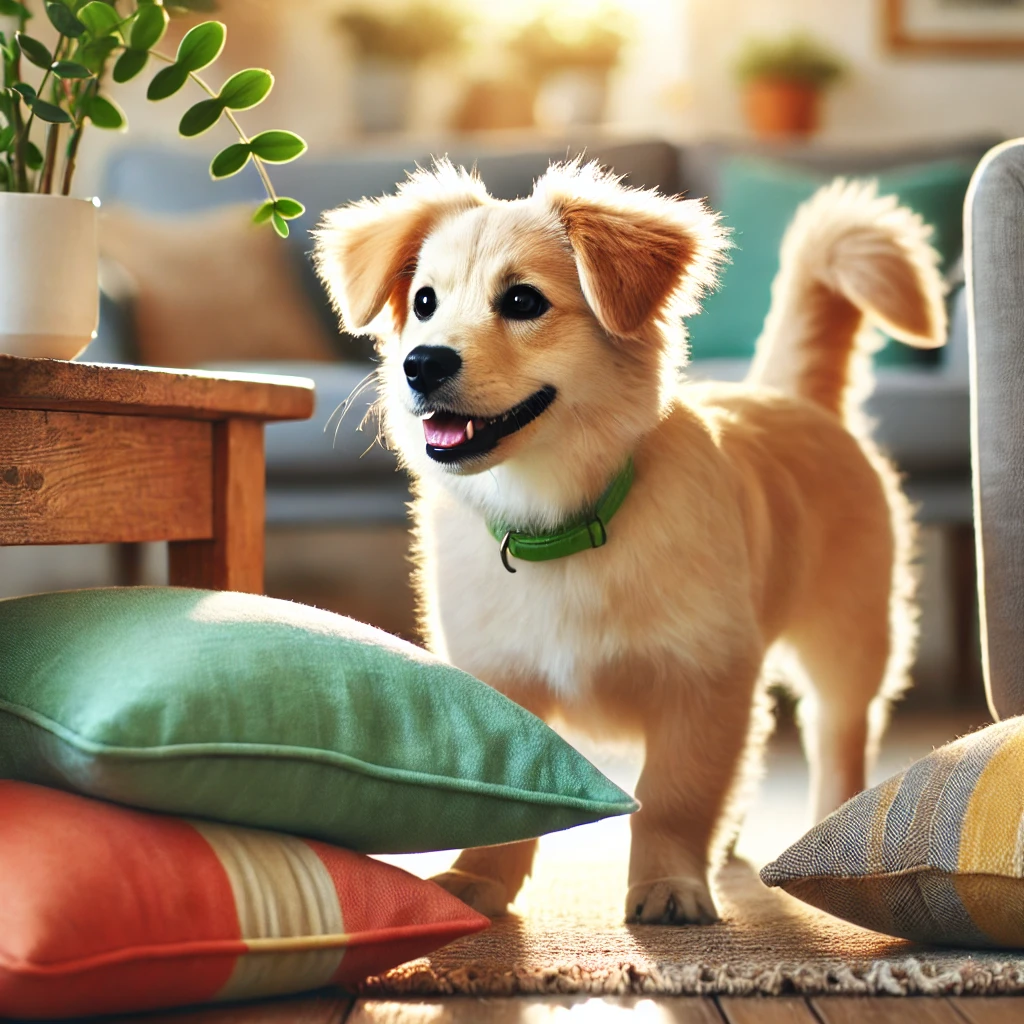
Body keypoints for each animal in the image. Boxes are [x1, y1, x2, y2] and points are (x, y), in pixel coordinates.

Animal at [315, 161, 946, 929]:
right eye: (424, 301)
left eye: (522, 300)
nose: (421, 363)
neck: (559, 522)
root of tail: (790, 397)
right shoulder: (500, 676)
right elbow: (506, 792)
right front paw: (477, 879)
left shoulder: (703, 678)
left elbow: (676, 795)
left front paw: (669, 883)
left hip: (849, 642)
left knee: (838, 735)